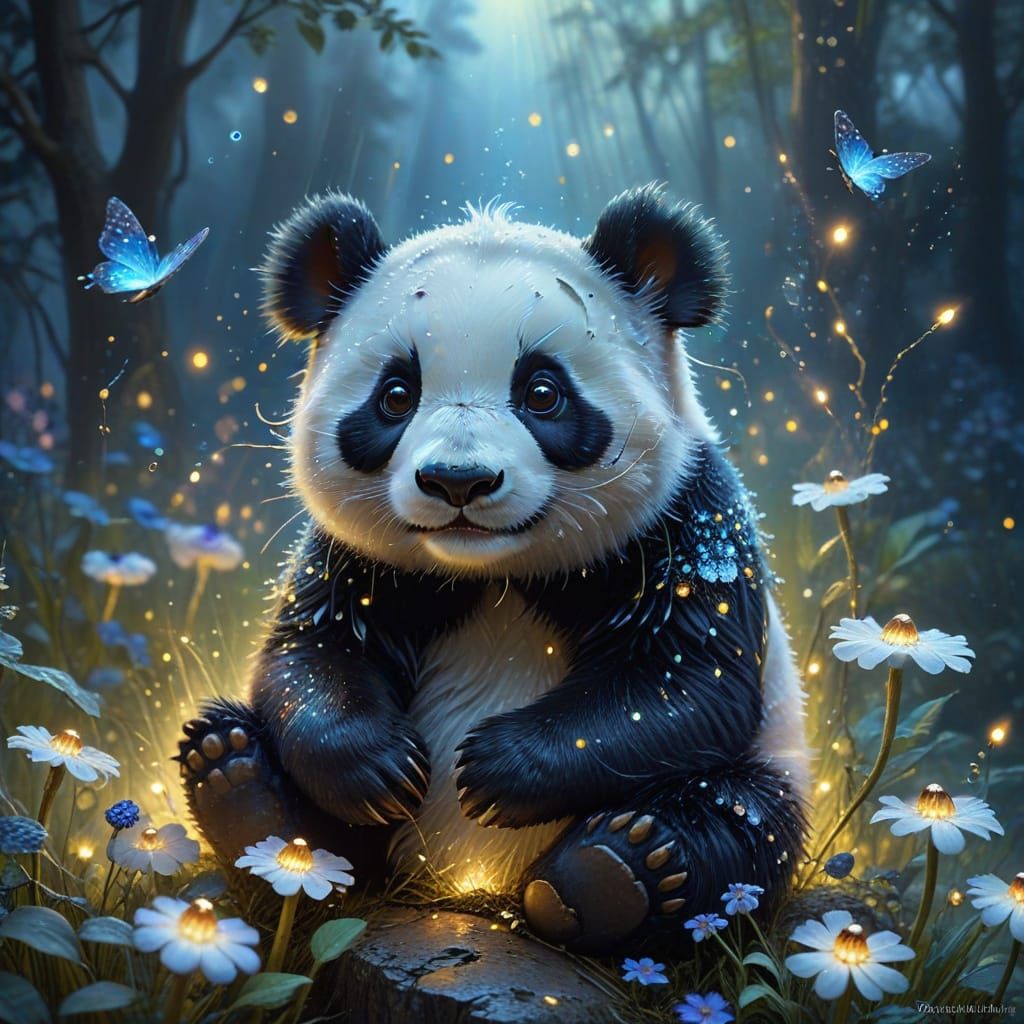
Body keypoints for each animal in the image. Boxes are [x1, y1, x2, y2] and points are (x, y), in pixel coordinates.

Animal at [178, 184, 809, 953]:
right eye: (396, 395)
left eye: (542, 392)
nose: (459, 481)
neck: (495, 571)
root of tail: (461, 884)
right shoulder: (355, 556)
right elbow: (311, 653)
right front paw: (382, 767)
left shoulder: (687, 517)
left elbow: (687, 679)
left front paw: (496, 767)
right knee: (254, 755)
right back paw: (248, 794)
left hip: (771, 761)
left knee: (737, 821)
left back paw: (613, 873)